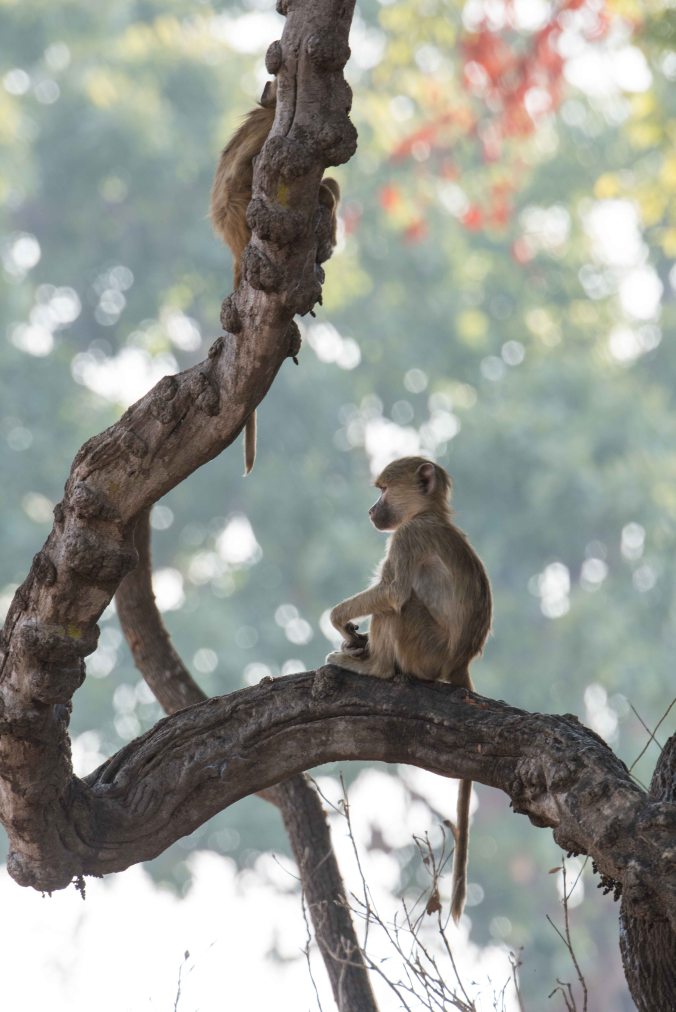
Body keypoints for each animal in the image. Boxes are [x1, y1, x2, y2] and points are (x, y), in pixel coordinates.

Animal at [325, 456, 492, 923]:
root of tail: (459, 663)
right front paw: (352, 636)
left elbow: (393, 591)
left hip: (424, 650)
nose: (371, 510)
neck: (428, 513)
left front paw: (340, 621)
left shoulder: (408, 537)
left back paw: (374, 668)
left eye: (383, 489)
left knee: (397, 607)